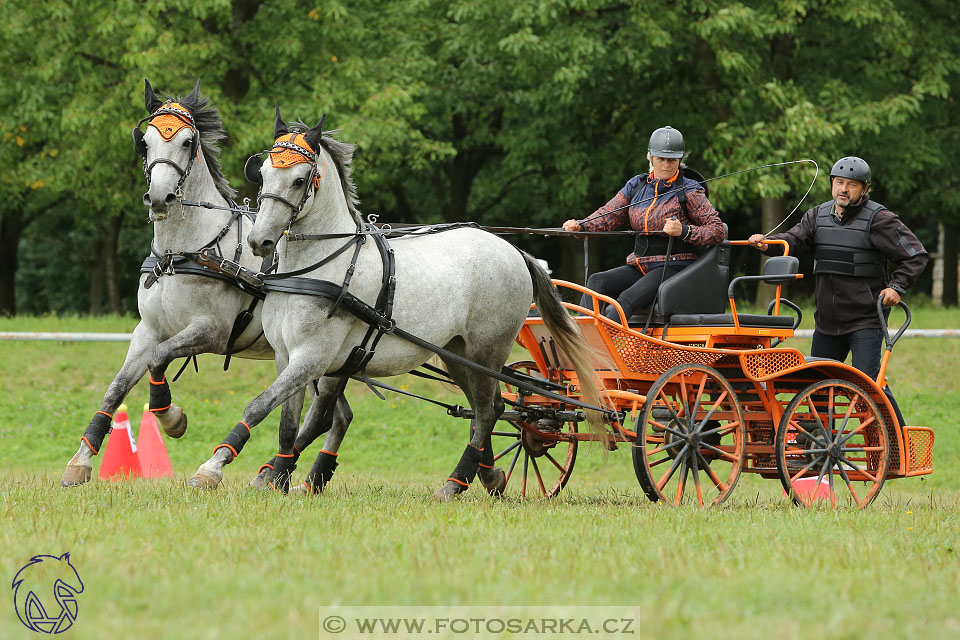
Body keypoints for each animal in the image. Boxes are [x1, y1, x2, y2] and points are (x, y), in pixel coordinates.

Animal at [59, 81, 348, 490]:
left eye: (186, 141)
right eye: (145, 141)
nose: (160, 197)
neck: (181, 252)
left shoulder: (211, 331)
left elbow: (159, 358)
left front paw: (171, 417)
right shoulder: (147, 329)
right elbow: (116, 387)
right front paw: (81, 459)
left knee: (326, 414)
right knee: (338, 416)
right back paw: (304, 475)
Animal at [189, 109, 608, 500]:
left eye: (299, 180)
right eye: (262, 173)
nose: (259, 241)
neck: (319, 266)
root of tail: (514, 250)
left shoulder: (313, 357)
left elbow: (260, 406)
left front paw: (215, 466)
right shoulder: (287, 356)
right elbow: (287, 423)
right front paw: (275, 476)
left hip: (488, 350)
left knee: (488, 411)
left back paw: (454, 483)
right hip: (457, 354)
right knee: (491, 410)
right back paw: (487, 477)